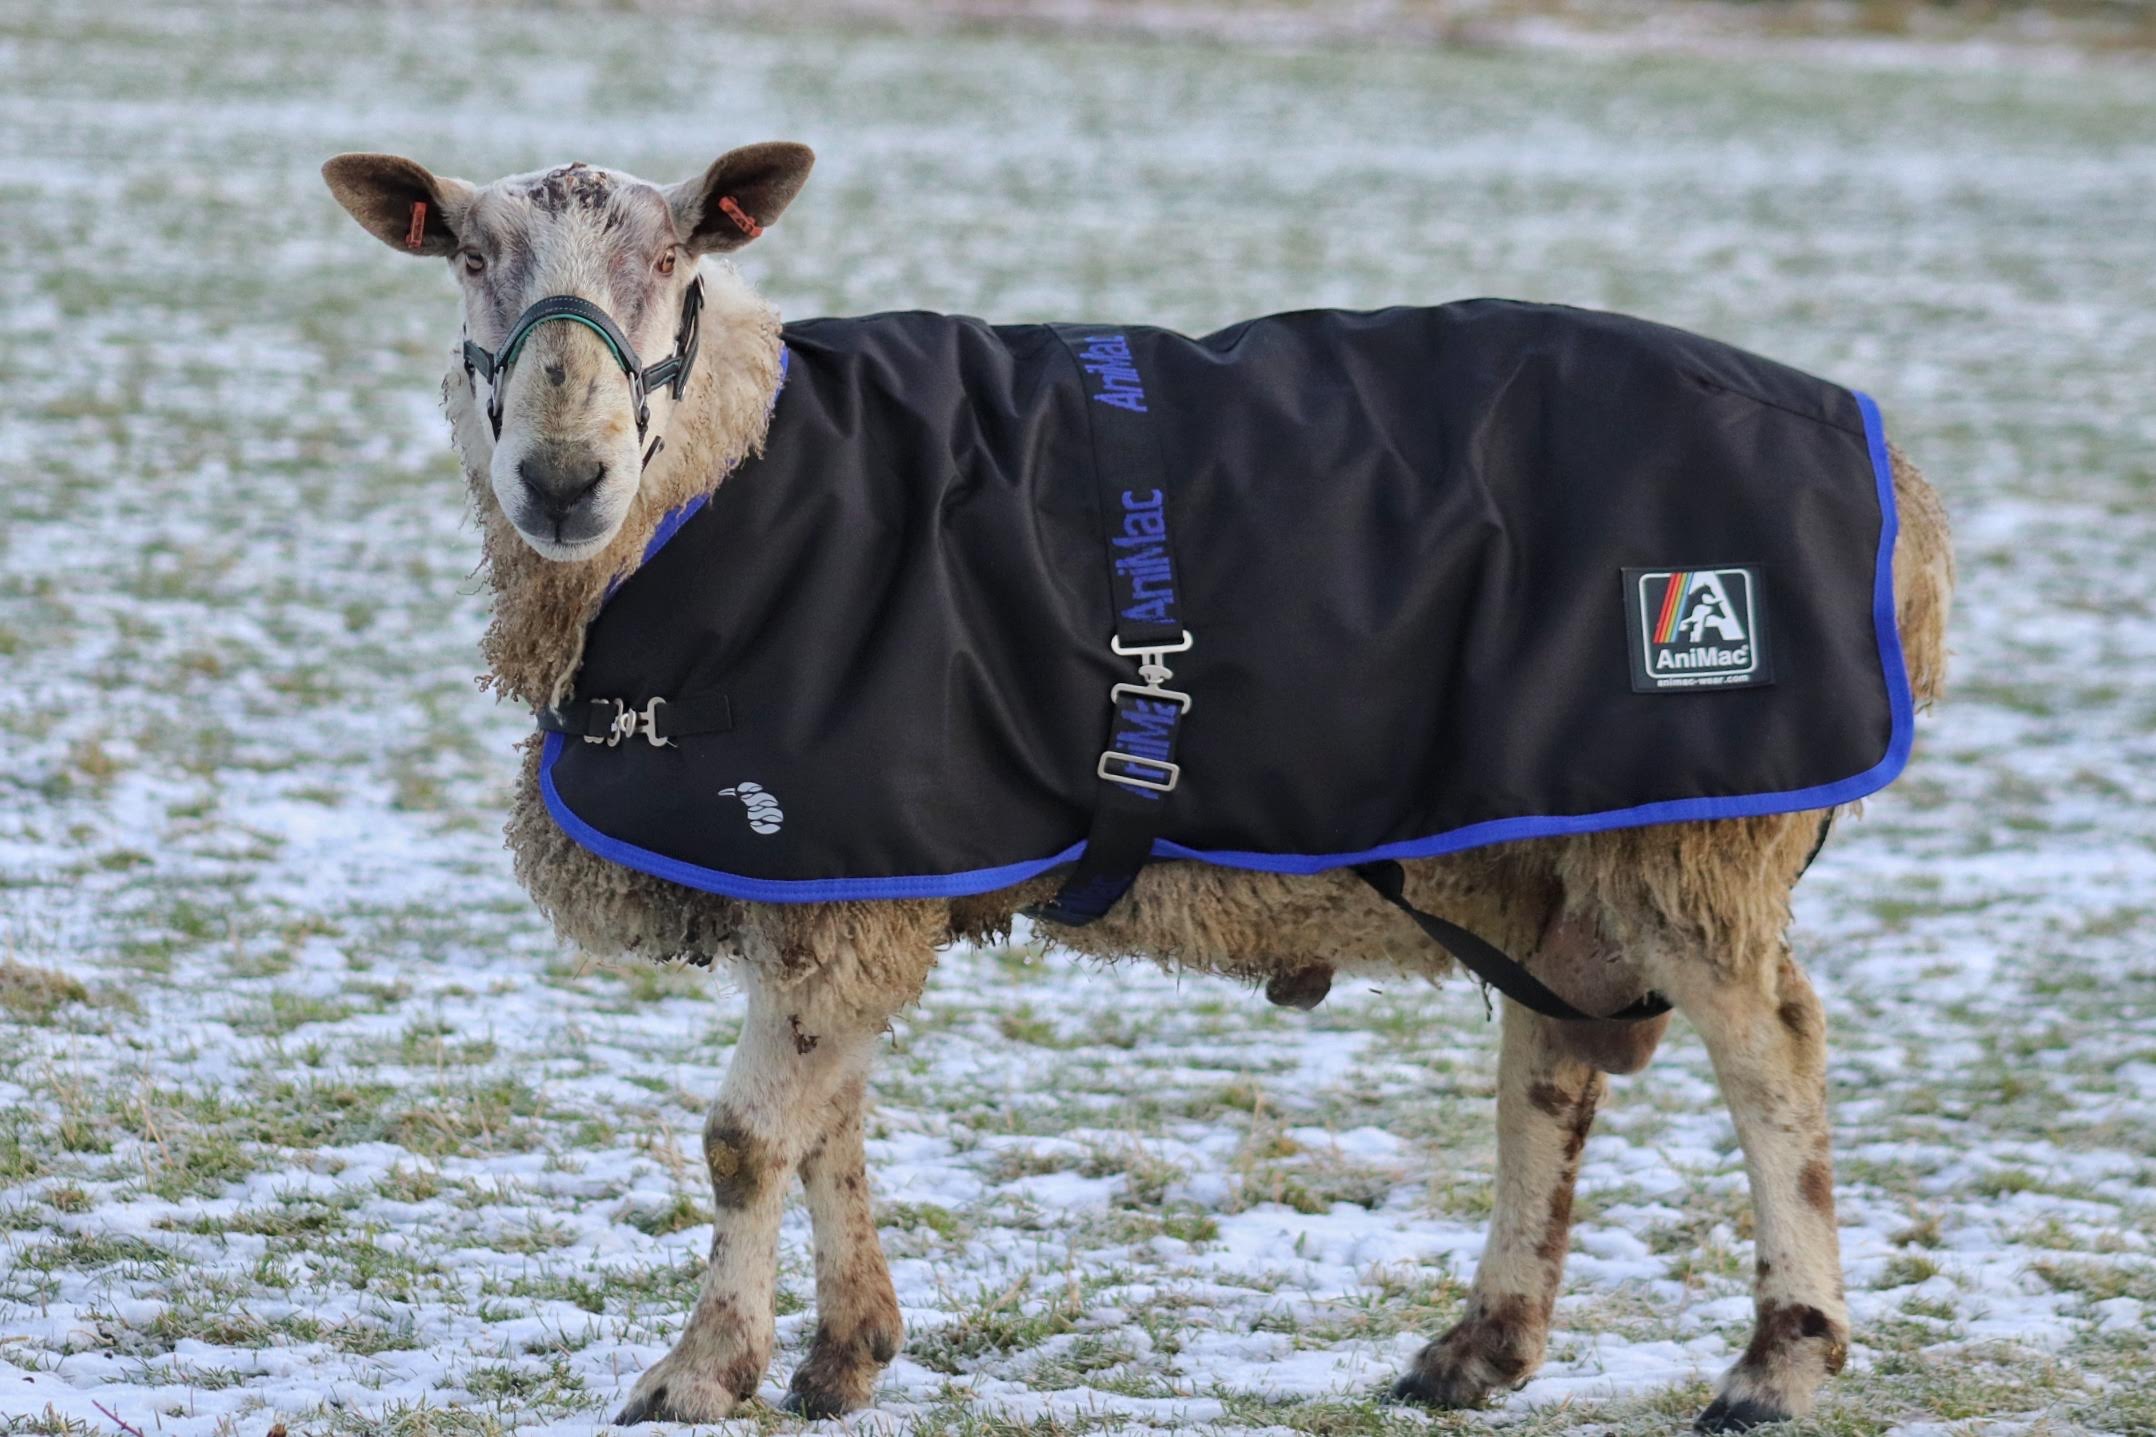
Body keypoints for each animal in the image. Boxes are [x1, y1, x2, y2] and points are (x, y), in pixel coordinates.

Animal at [321, 143, 1954, 1431]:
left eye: (673, 257)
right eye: (470, 255)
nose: (561, 478)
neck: (726, 472)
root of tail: (1903, 495)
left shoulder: (840, 868)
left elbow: (745, 1139)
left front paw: (698, 1373)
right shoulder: (841, 860)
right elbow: (829, 1115)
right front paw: (845, 1356)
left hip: (1695, 816)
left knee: (1772, 1050)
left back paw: (1777, 1362)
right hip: (1557, 832)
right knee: (1549, 1068)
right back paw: (1480, 1347)